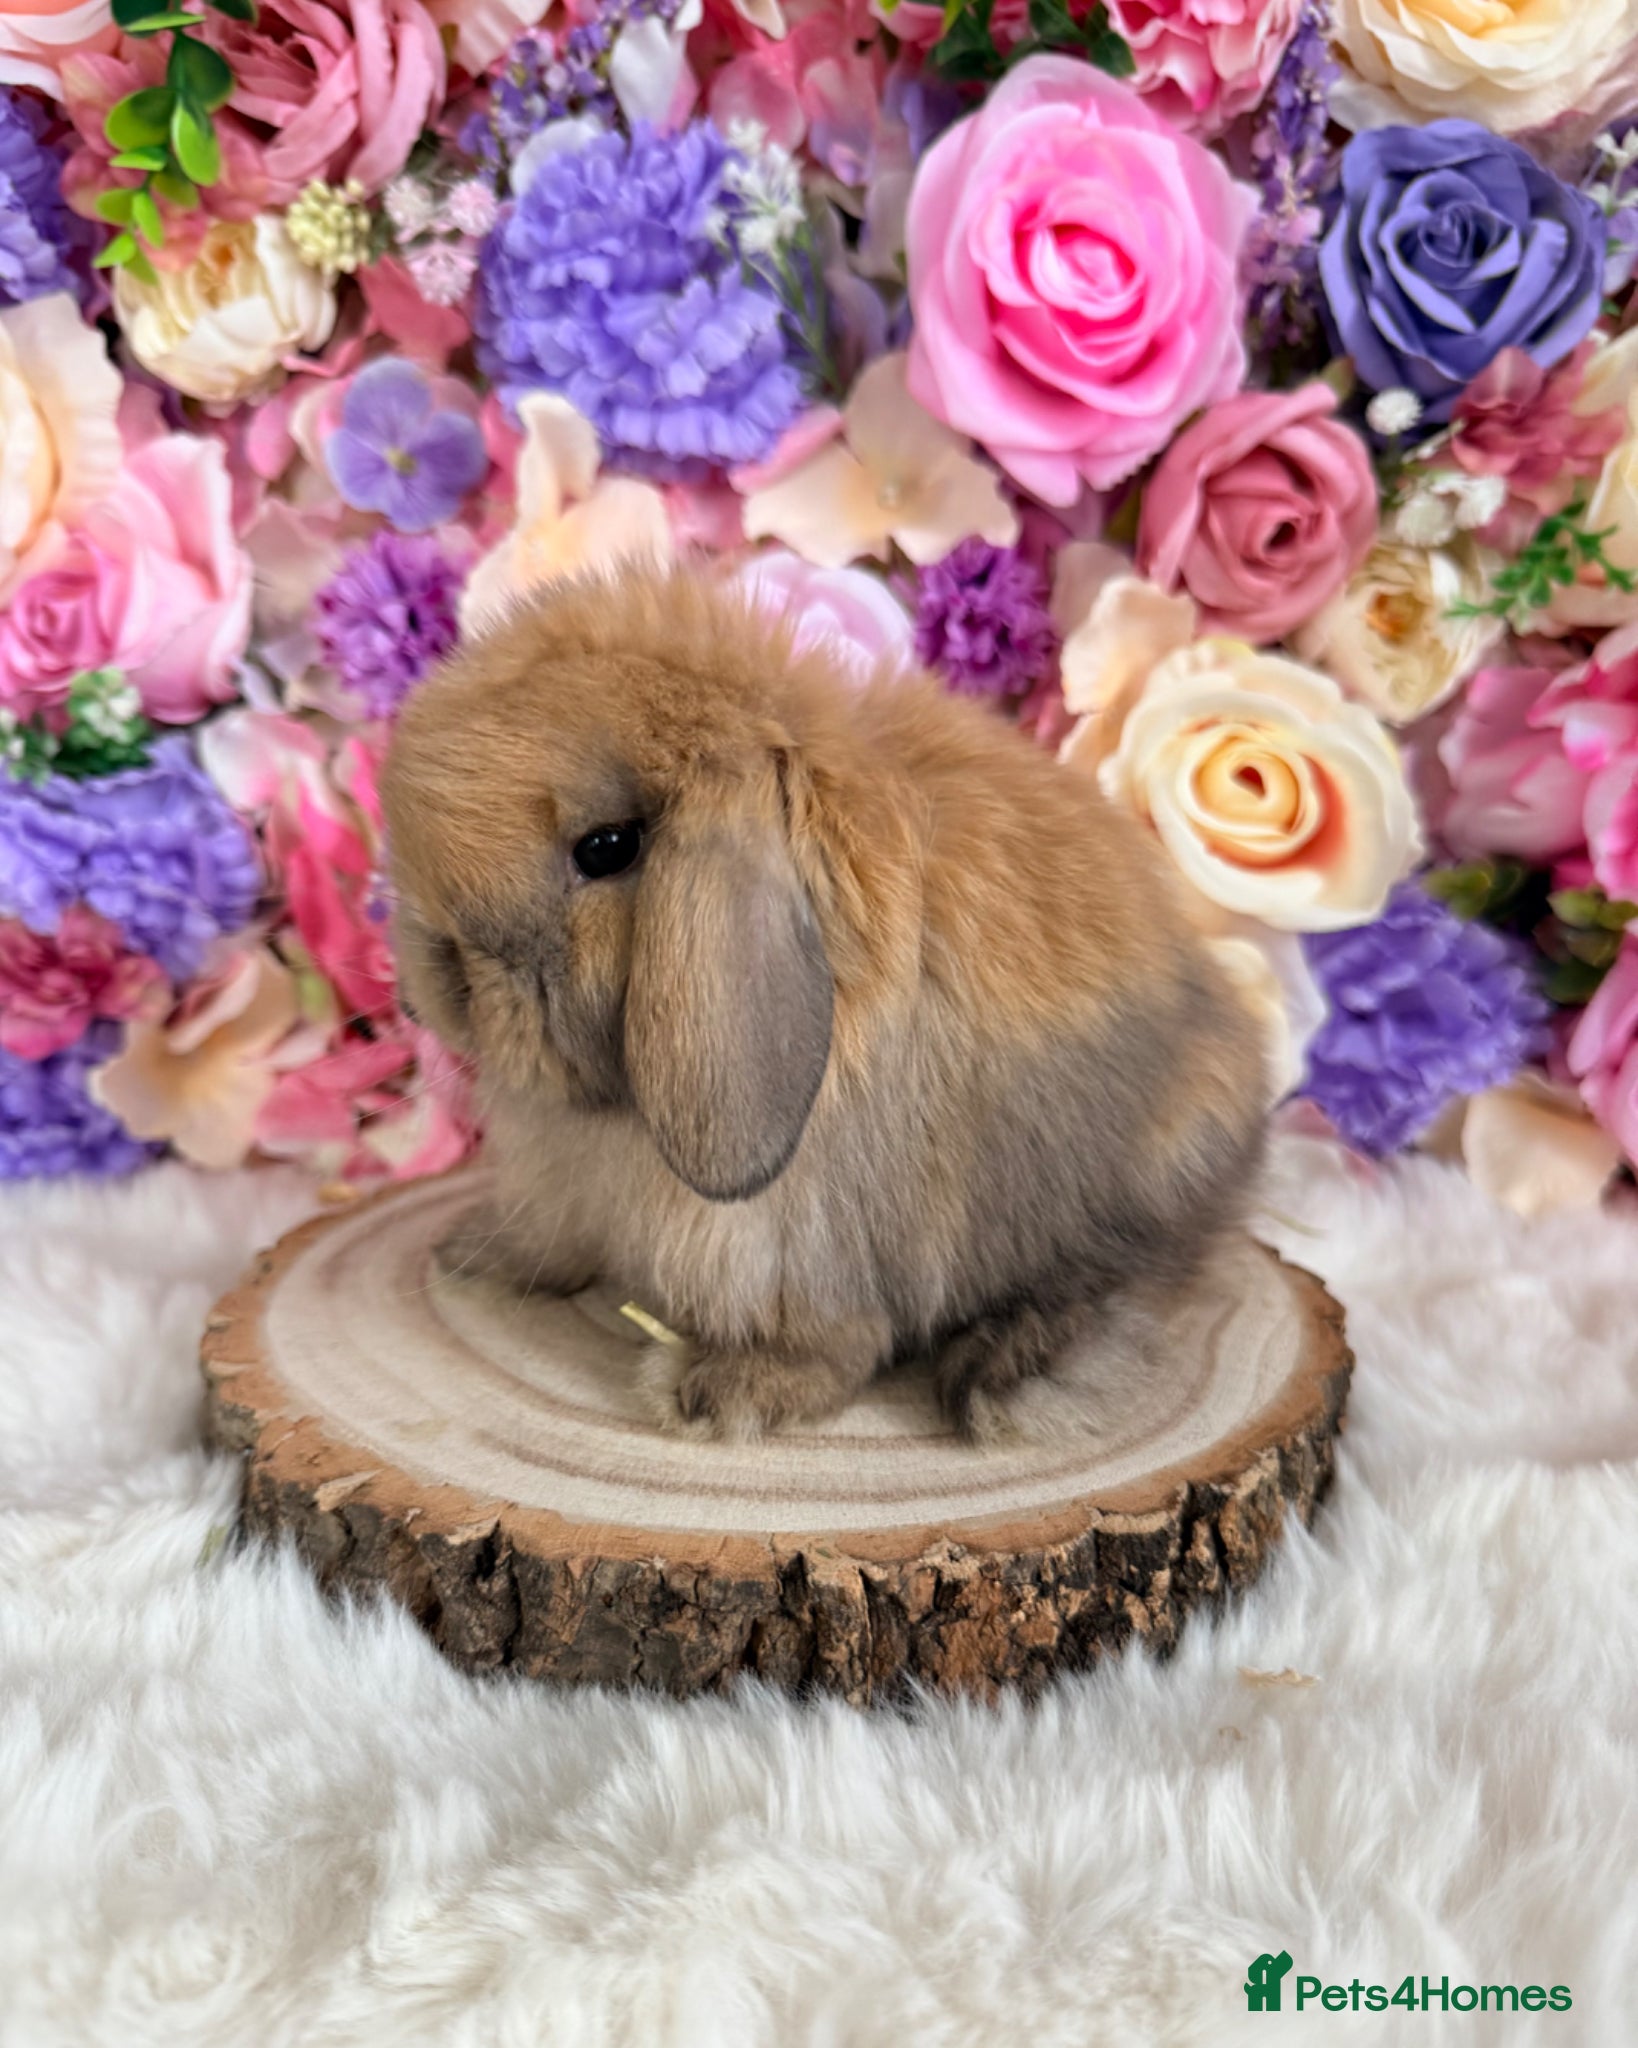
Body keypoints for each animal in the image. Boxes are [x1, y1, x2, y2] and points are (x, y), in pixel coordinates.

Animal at [381, 563, 1269, 1443]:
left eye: (606, 847)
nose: (436, 984)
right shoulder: (567, 1185)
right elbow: (551, 1233)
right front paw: (474, 1258)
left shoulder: (801, 1236)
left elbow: (834, 1336)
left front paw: (724, 1392)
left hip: (1146, 1175)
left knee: (1132, 1274)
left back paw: (1007, 1376)